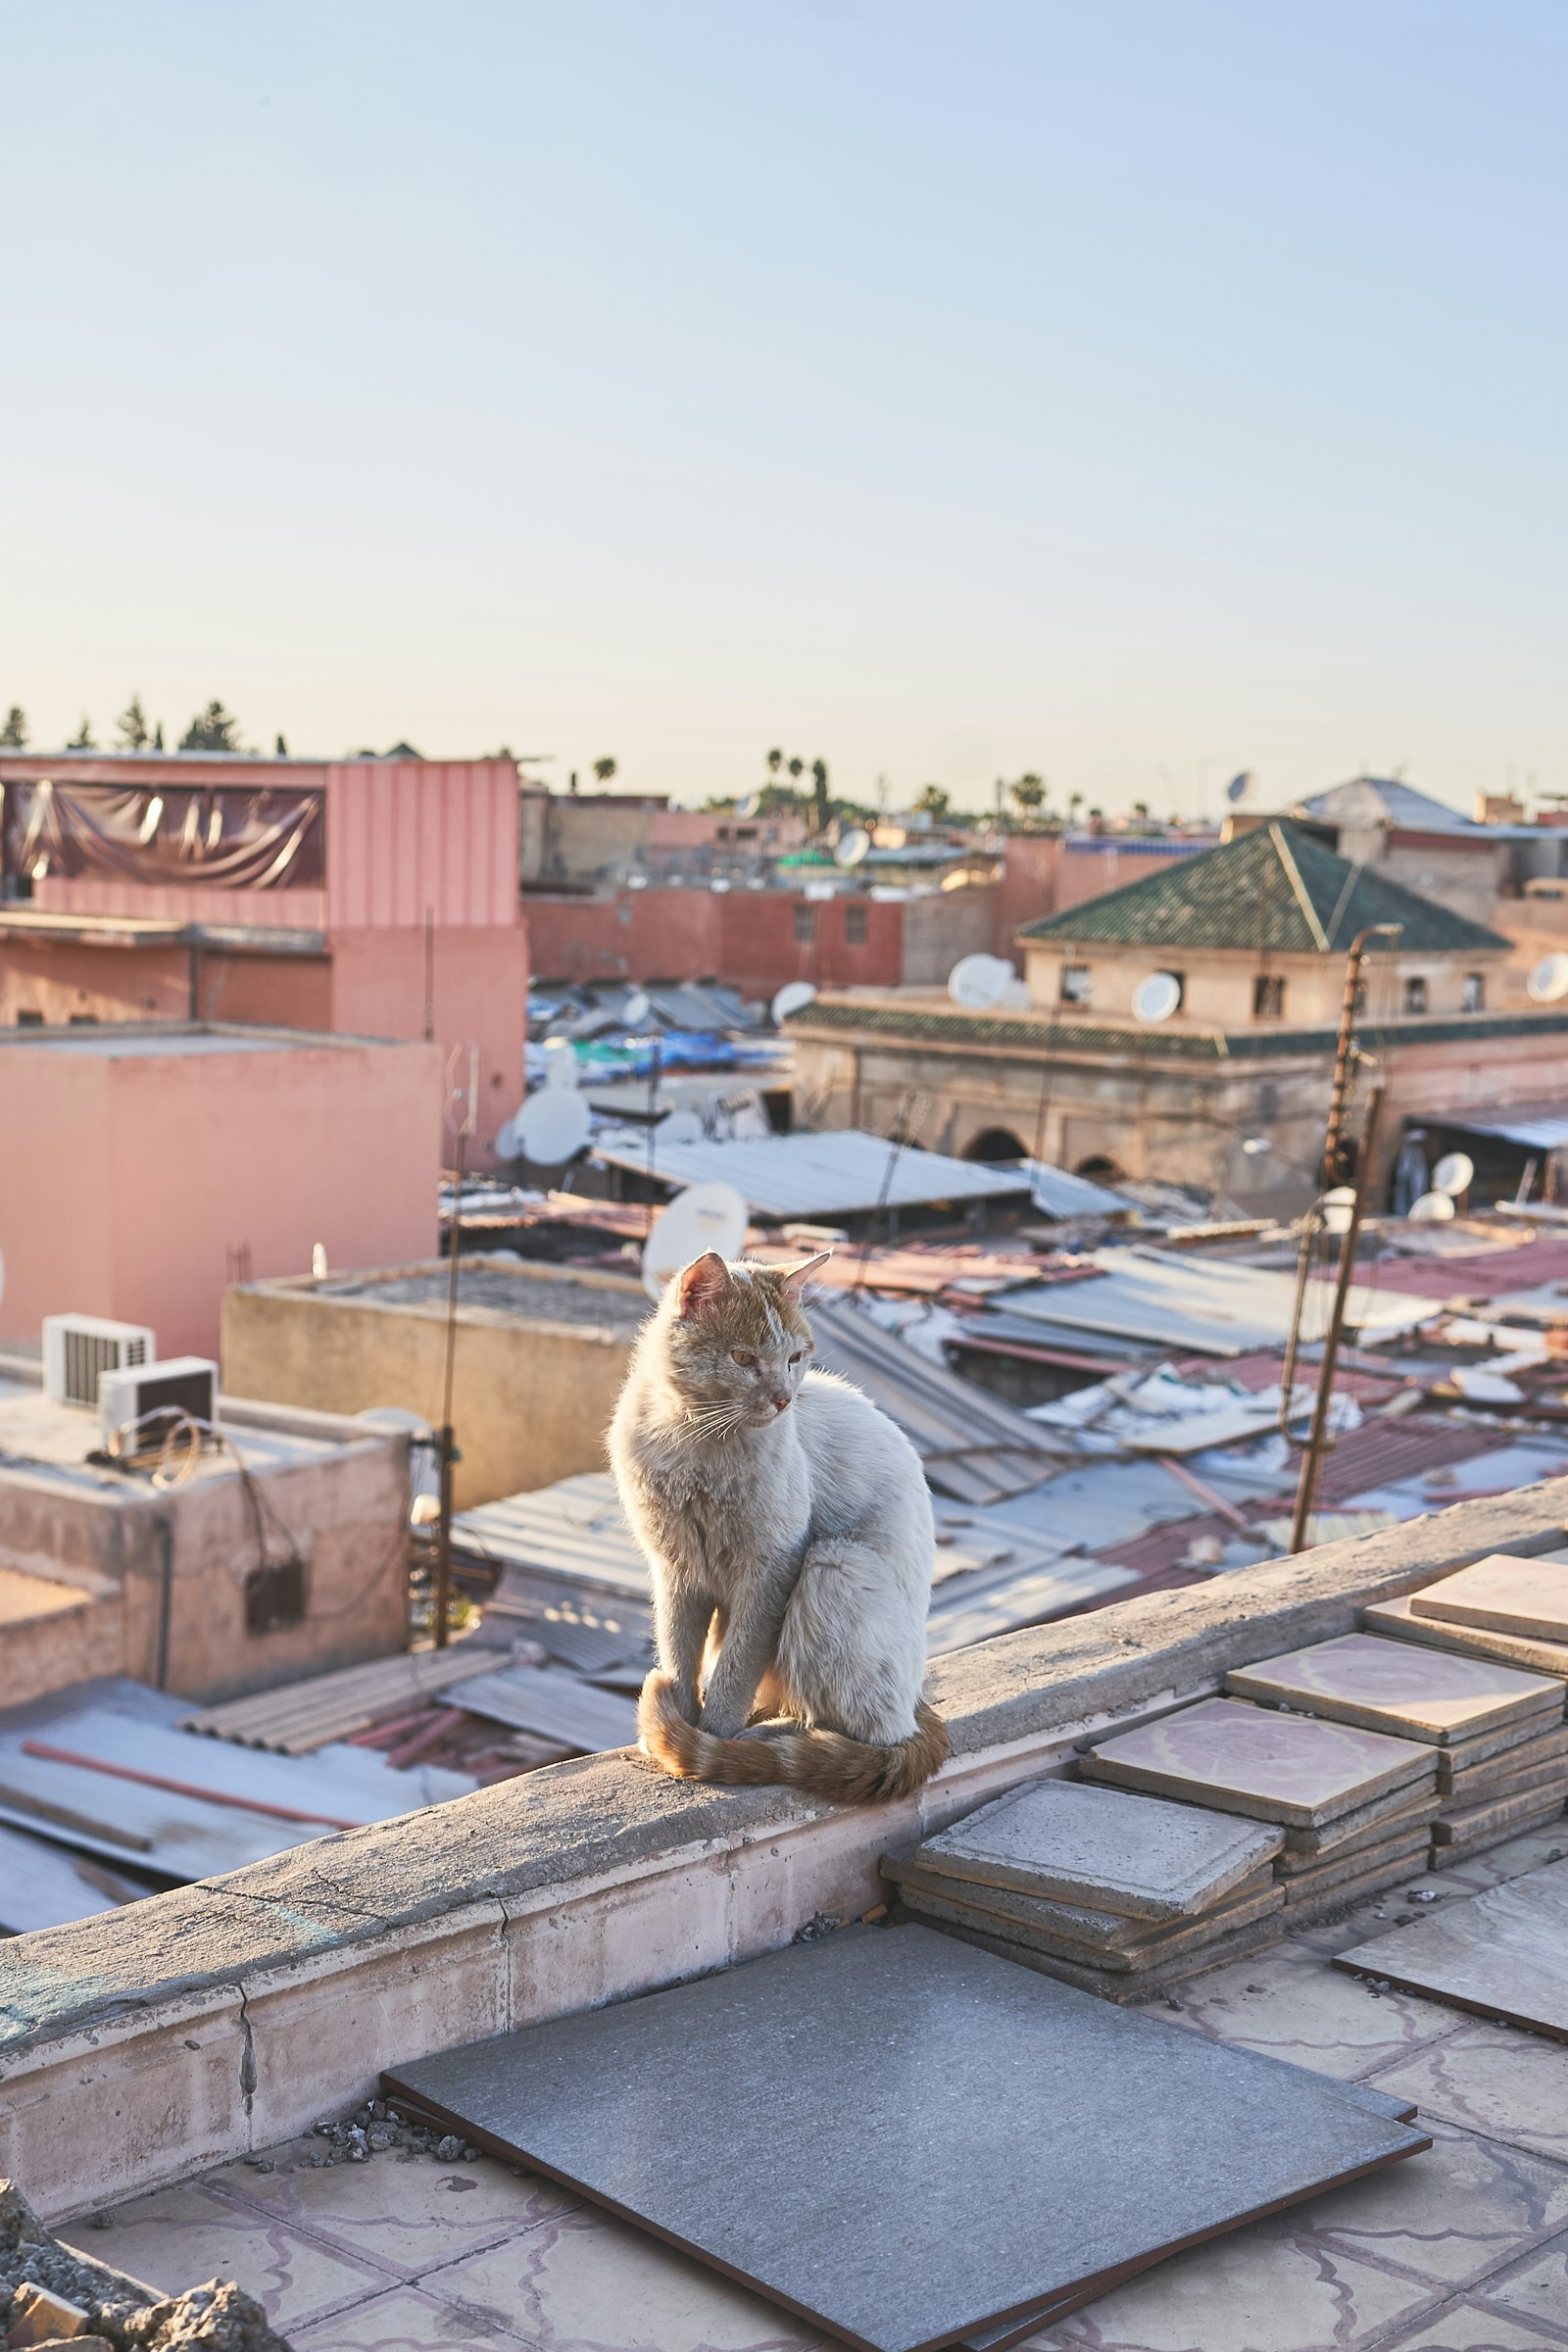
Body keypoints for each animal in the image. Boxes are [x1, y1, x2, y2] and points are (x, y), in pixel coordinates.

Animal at [606, 1250, 950, 1796]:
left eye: (795, 1358)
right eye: (743, 1359)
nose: (785, 1397)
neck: (697, 1444)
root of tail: (918, 1702)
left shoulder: (770, 1568)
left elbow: (737, 1666)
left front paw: (710, 1735)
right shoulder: (676, 1570)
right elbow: (679, 1656)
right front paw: (673, 1725)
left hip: (835, 1564)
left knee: (870, 1729)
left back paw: (767, 1735)